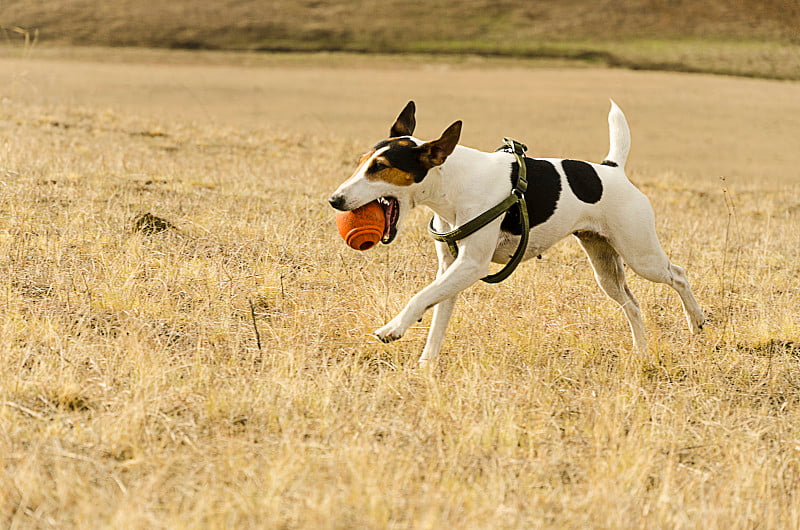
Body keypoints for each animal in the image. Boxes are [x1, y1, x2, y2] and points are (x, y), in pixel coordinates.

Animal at [328, 100, 704, 364]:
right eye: (362, 161)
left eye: (380, 168)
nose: (335, 200)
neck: (452, 184)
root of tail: (612, 169)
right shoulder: (451, 267)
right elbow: (437, 313)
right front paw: (427, 364)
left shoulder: (472, 265)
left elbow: (420, 296)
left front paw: (392, 328)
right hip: (605, 267)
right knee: (632, 303)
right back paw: (642, 353)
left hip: (641, 254)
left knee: (678, 274)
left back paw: (697, 322)